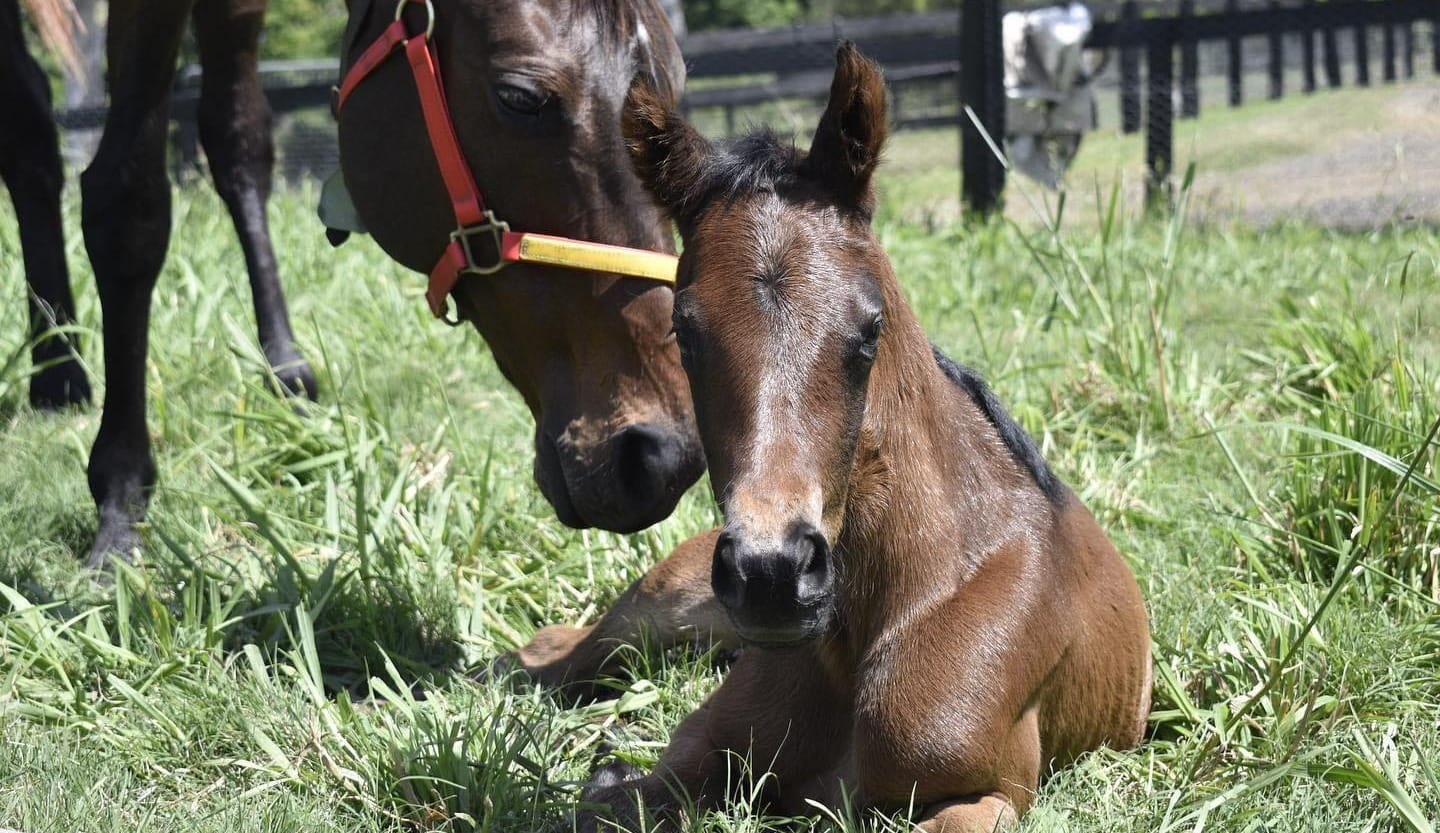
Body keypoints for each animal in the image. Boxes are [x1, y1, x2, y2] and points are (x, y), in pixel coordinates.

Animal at [1, 0, 702, 564]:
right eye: (520, 98)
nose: (661, 458)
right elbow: (128, 203)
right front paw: (120, 503)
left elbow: (239, 139)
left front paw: (283, 368)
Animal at [515, 45, 1146, 830]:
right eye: (684, 332)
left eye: (869, 330)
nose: (772, 575)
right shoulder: (695, 754)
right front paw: (603, 771)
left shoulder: (988, 794)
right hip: (659, 604)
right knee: (570, 650)